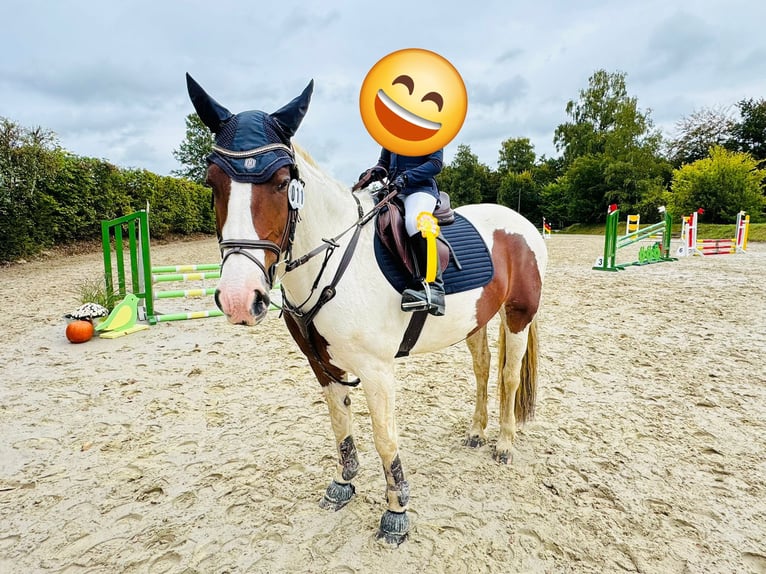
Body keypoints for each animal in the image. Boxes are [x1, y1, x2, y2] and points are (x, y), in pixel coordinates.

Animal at [186, 73, 548, 545]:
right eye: (212, 182)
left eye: (283, 181)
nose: (238, 298)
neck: (332, 258)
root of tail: (519, 222)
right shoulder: (323, 365)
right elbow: (341, 425)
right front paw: (344, 483)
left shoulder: (377, 370)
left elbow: (385, 439)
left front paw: (396, 513)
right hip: (475, 321)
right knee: (483, 368)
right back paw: (476, 432)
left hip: (518, 314)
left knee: (507, 376)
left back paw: (504, 444)